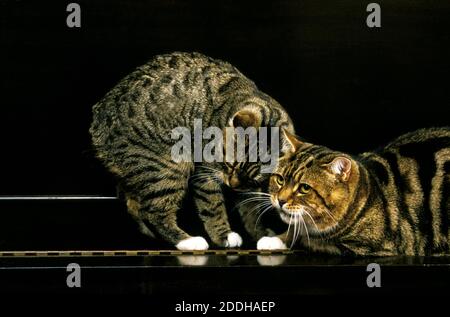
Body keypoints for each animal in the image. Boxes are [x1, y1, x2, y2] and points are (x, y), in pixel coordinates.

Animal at [89, 51, 294, 249]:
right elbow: (212, 206)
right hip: (168, 166)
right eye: (229, 165)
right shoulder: (204, 172)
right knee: (155, 212)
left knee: (134, 206)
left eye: (252, 179)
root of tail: (97, 121)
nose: (232, 185)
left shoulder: (249, 188)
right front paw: (224, 235)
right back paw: (187, 241)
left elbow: (251, 211)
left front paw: (260, 233)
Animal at [256, 126, 450, 254]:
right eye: (280, 180)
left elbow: (307, 240)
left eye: (304, 188)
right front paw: (277, 238)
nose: (280, 200)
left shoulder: (371, 247)